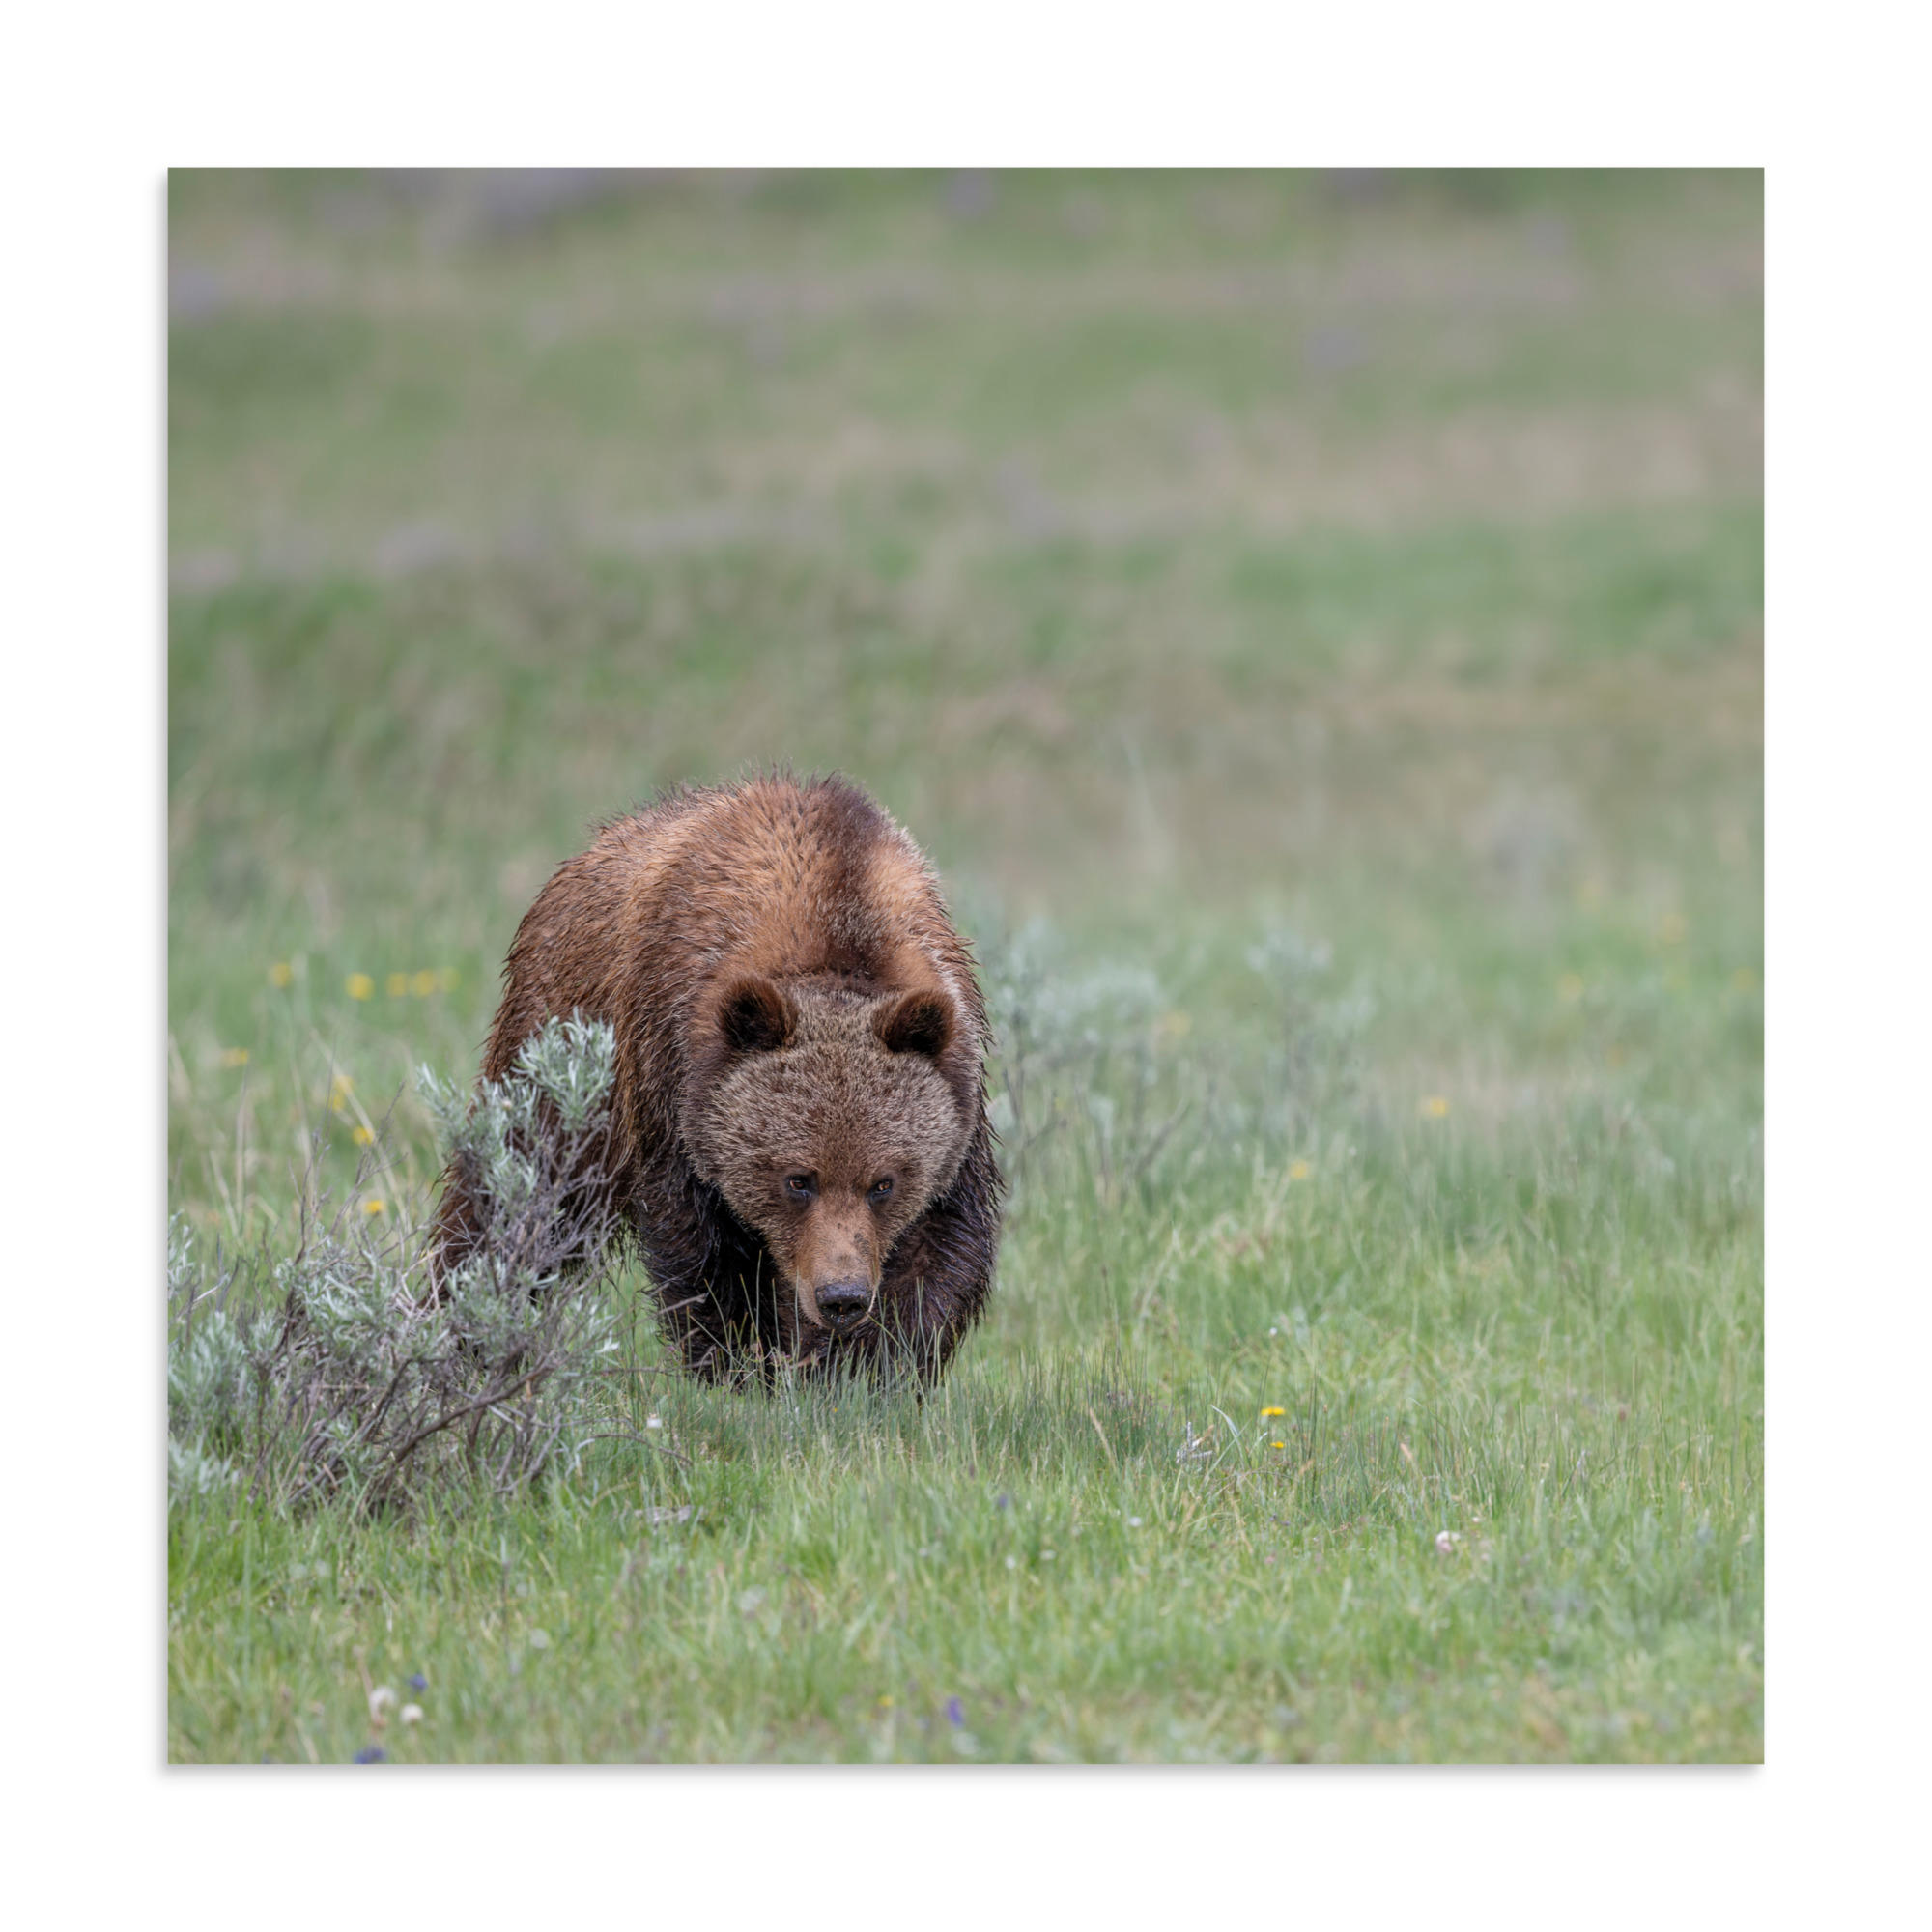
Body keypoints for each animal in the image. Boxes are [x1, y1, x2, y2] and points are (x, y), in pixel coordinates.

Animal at [433, 772, 1003, 1383]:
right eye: (797, 1179)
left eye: (884, 1183)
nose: (841, 1297)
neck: (837, 922)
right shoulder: (671, 1077)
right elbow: (703, 1251)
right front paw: (739, 1364)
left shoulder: (957, 1094)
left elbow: (938, 1249)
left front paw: (863, 1370)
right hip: (560, 1052)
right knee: (516, 1192)